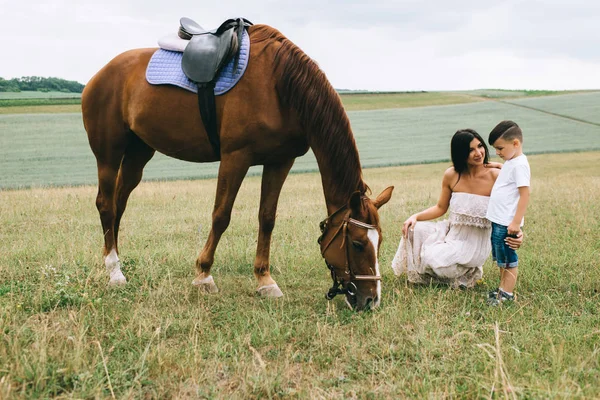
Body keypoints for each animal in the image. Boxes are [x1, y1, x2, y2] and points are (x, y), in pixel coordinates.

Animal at [82, 21, 396, 310]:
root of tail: (100, 74)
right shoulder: (236, 157)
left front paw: (265, 280)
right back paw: (114, 272)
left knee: (119, 204)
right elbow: (221, 215)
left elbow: (267, 218)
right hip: (108, 155)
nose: (371, 300)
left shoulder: (280, 161)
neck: (280, 86)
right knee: (106, 205)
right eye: (357, 243)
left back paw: (115, 261)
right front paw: (204, 275)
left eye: (379, 241)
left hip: (138, 154)